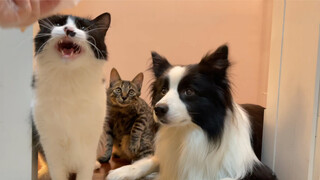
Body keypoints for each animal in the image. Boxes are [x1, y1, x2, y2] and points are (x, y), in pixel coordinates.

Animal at [106, 44, 276, 179]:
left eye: (189, 91)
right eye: (163, 91)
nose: (158, 109)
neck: (189, 131)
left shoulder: (260, 171)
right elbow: (151, 160)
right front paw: (122, 171)